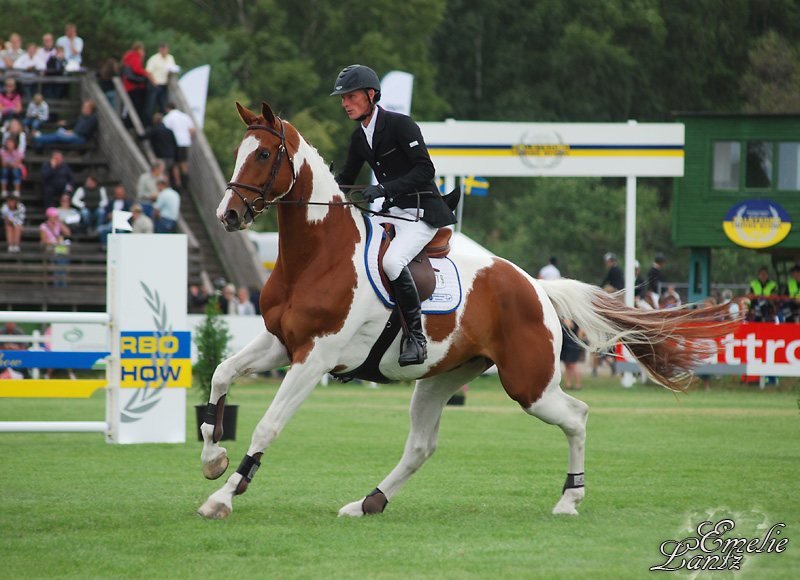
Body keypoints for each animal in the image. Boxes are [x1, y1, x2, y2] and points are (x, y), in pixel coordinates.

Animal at [197, 102, 740, 520]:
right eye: (239, 154)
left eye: (263, 154)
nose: (228, 215)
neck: (316, 255)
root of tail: (535, 286)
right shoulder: (279, 343)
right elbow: (221, 375)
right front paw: (213, 458)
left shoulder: (314, 357)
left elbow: (267, 425)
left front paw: (223, 497)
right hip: (442, 377)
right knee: (421, 445)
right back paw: (368, 503)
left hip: (528, 382)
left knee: (577, 415)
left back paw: (570, 499)